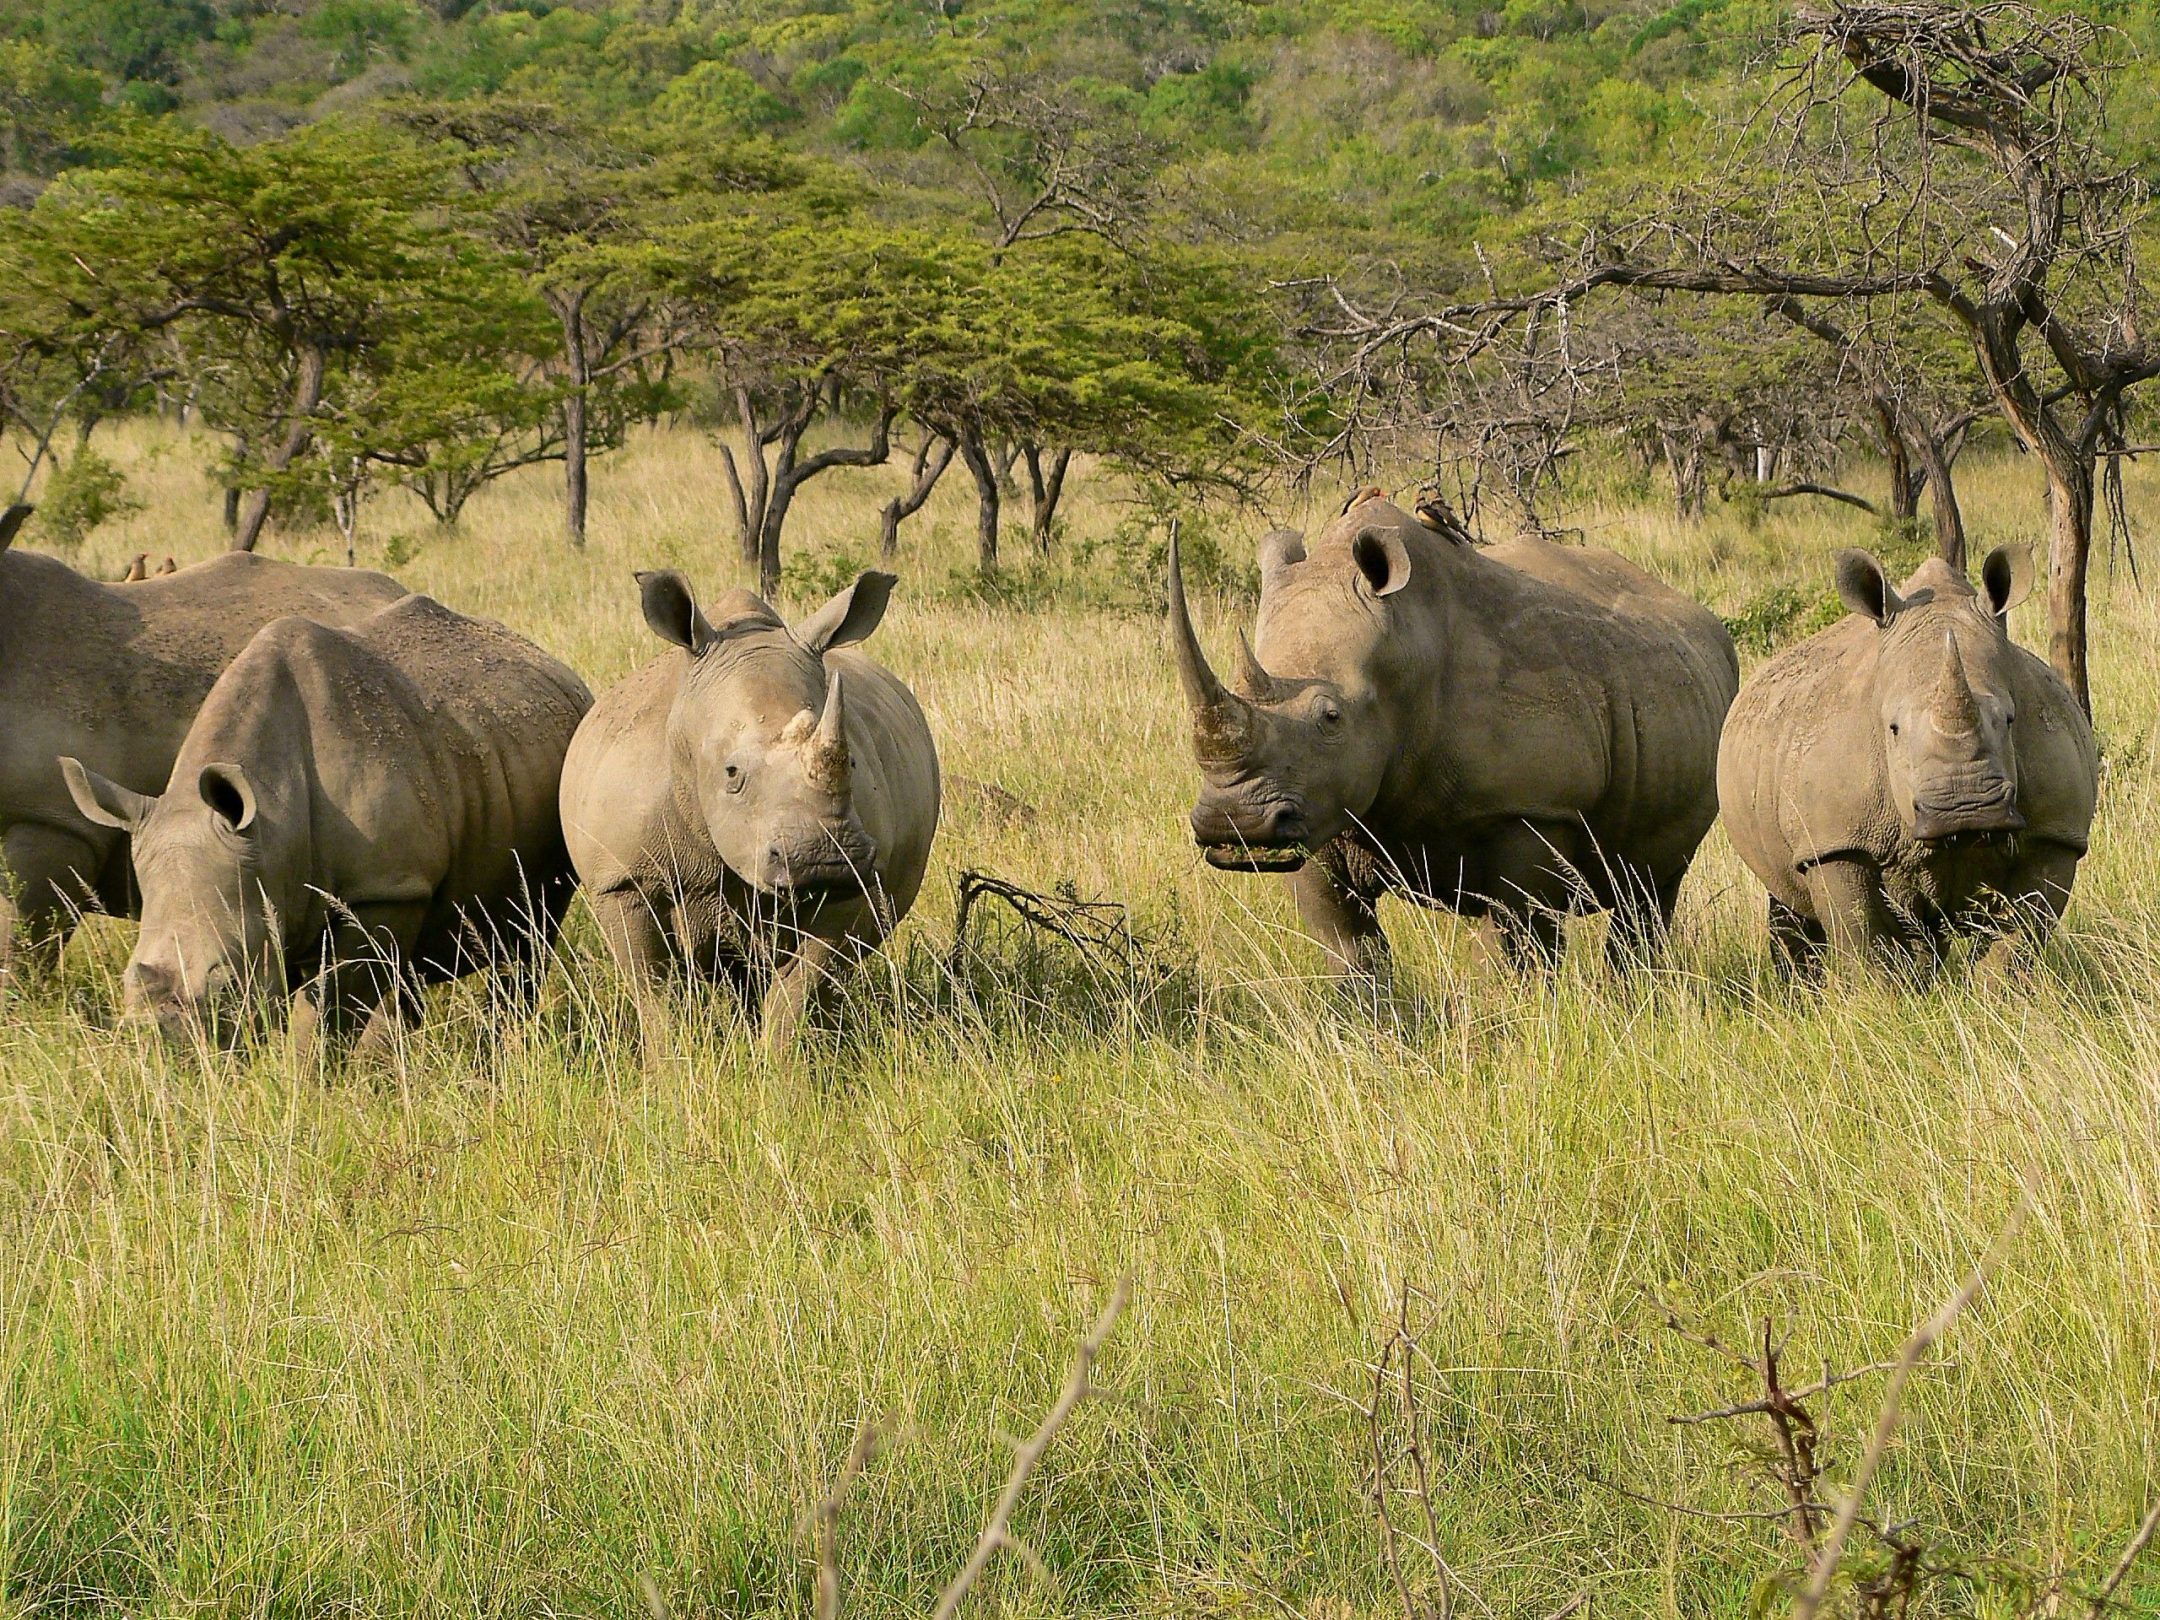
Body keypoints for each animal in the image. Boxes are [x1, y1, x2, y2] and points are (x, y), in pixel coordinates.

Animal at [1166, 494, 1736, 976]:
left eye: (1331, 718)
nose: (1235, 826)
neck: (1404, 652)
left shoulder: (1529, 808)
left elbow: (1515, 948)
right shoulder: (1321, 808)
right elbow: (1348, 946)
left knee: (1646, 893)